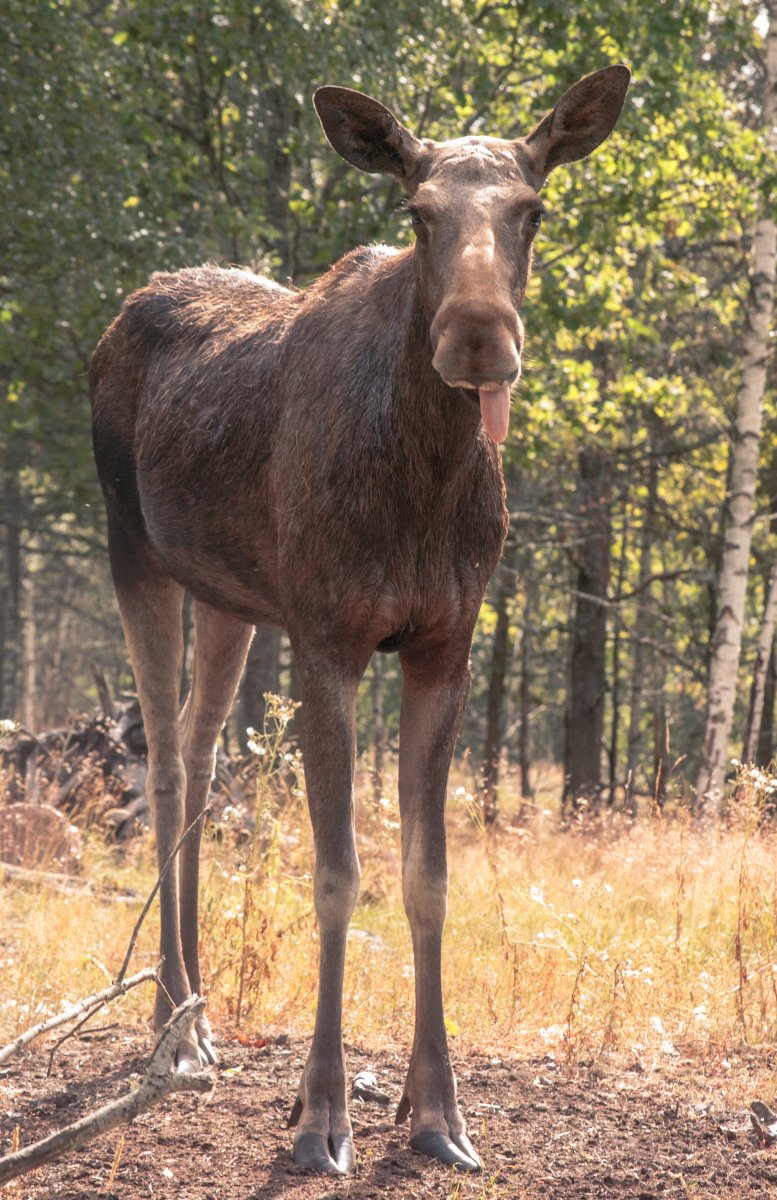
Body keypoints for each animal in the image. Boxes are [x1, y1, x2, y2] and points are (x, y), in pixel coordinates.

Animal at [90, 65, 629, 1175]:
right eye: (418, 214)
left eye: (533, 208)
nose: (478, 336)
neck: (425, 475)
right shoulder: (328, 638)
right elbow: (337, 872)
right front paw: (320, 1118)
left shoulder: (441, 646)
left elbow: (426, 875)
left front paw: (436, 1113)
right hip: (136, 551)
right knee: (159, 761)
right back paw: (170, 1028)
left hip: (231, 594)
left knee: (201, 753)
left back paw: (202, 1014)